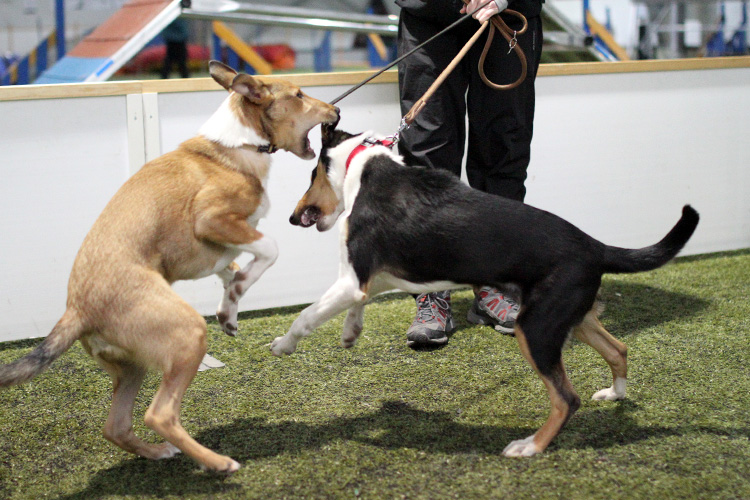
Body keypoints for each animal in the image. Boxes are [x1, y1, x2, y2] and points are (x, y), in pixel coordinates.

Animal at [0, 61, 338, 472]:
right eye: (300, 95)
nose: (336, 111)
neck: (235, 145)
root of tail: (76, 311)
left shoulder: (215, 247)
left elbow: (231, 266)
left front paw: (229, 310)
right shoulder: (211, 219)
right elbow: (267, 250)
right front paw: (238, 291)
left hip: (132, 366)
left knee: (116, 426)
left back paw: (160, 452)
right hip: (186, 335)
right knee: (159, 415)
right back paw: (218, 463)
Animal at [270, 118, 699, 457]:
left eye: (311, 176)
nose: (291, 217)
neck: (365, 167)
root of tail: (596, 247)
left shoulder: (352, 278)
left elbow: (305, 316)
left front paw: (282, 345)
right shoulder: (365, 280)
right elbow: (355, 307)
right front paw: (350, 333)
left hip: (537, 329)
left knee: (567, 399)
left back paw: (530, 446)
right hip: (571, 317)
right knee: (618, 349)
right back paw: (615, 395)